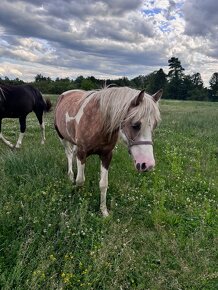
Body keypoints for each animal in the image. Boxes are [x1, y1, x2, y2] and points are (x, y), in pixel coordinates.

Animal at [54, 85, 162, 215]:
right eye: (135, 125)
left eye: (154, 125)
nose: (148, 164)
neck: (97, 121)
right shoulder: (82, 153)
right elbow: (80, 180)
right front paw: (77, 198)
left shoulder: (106, 155)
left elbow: (103, 184)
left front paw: (104, 211)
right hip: (62, 137)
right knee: (69, 154)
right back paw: (70, 176)